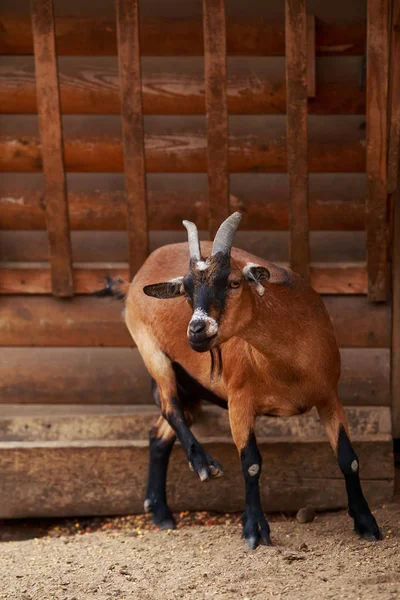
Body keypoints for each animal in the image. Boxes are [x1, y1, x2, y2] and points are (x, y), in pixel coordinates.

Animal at [108, 212, 380, 548]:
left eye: (234, 282)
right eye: (186, 291)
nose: (196, 331)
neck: (288, 365)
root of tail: (136, 278)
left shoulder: (329, 396)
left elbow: (348, 458)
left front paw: (366, 522)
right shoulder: (239, 400)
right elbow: (250, 463)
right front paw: (255, 530)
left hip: (191, 387)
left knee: (158, 435)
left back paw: (160, 512)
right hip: (153, 353)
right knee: (170, 409)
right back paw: (204, 465)